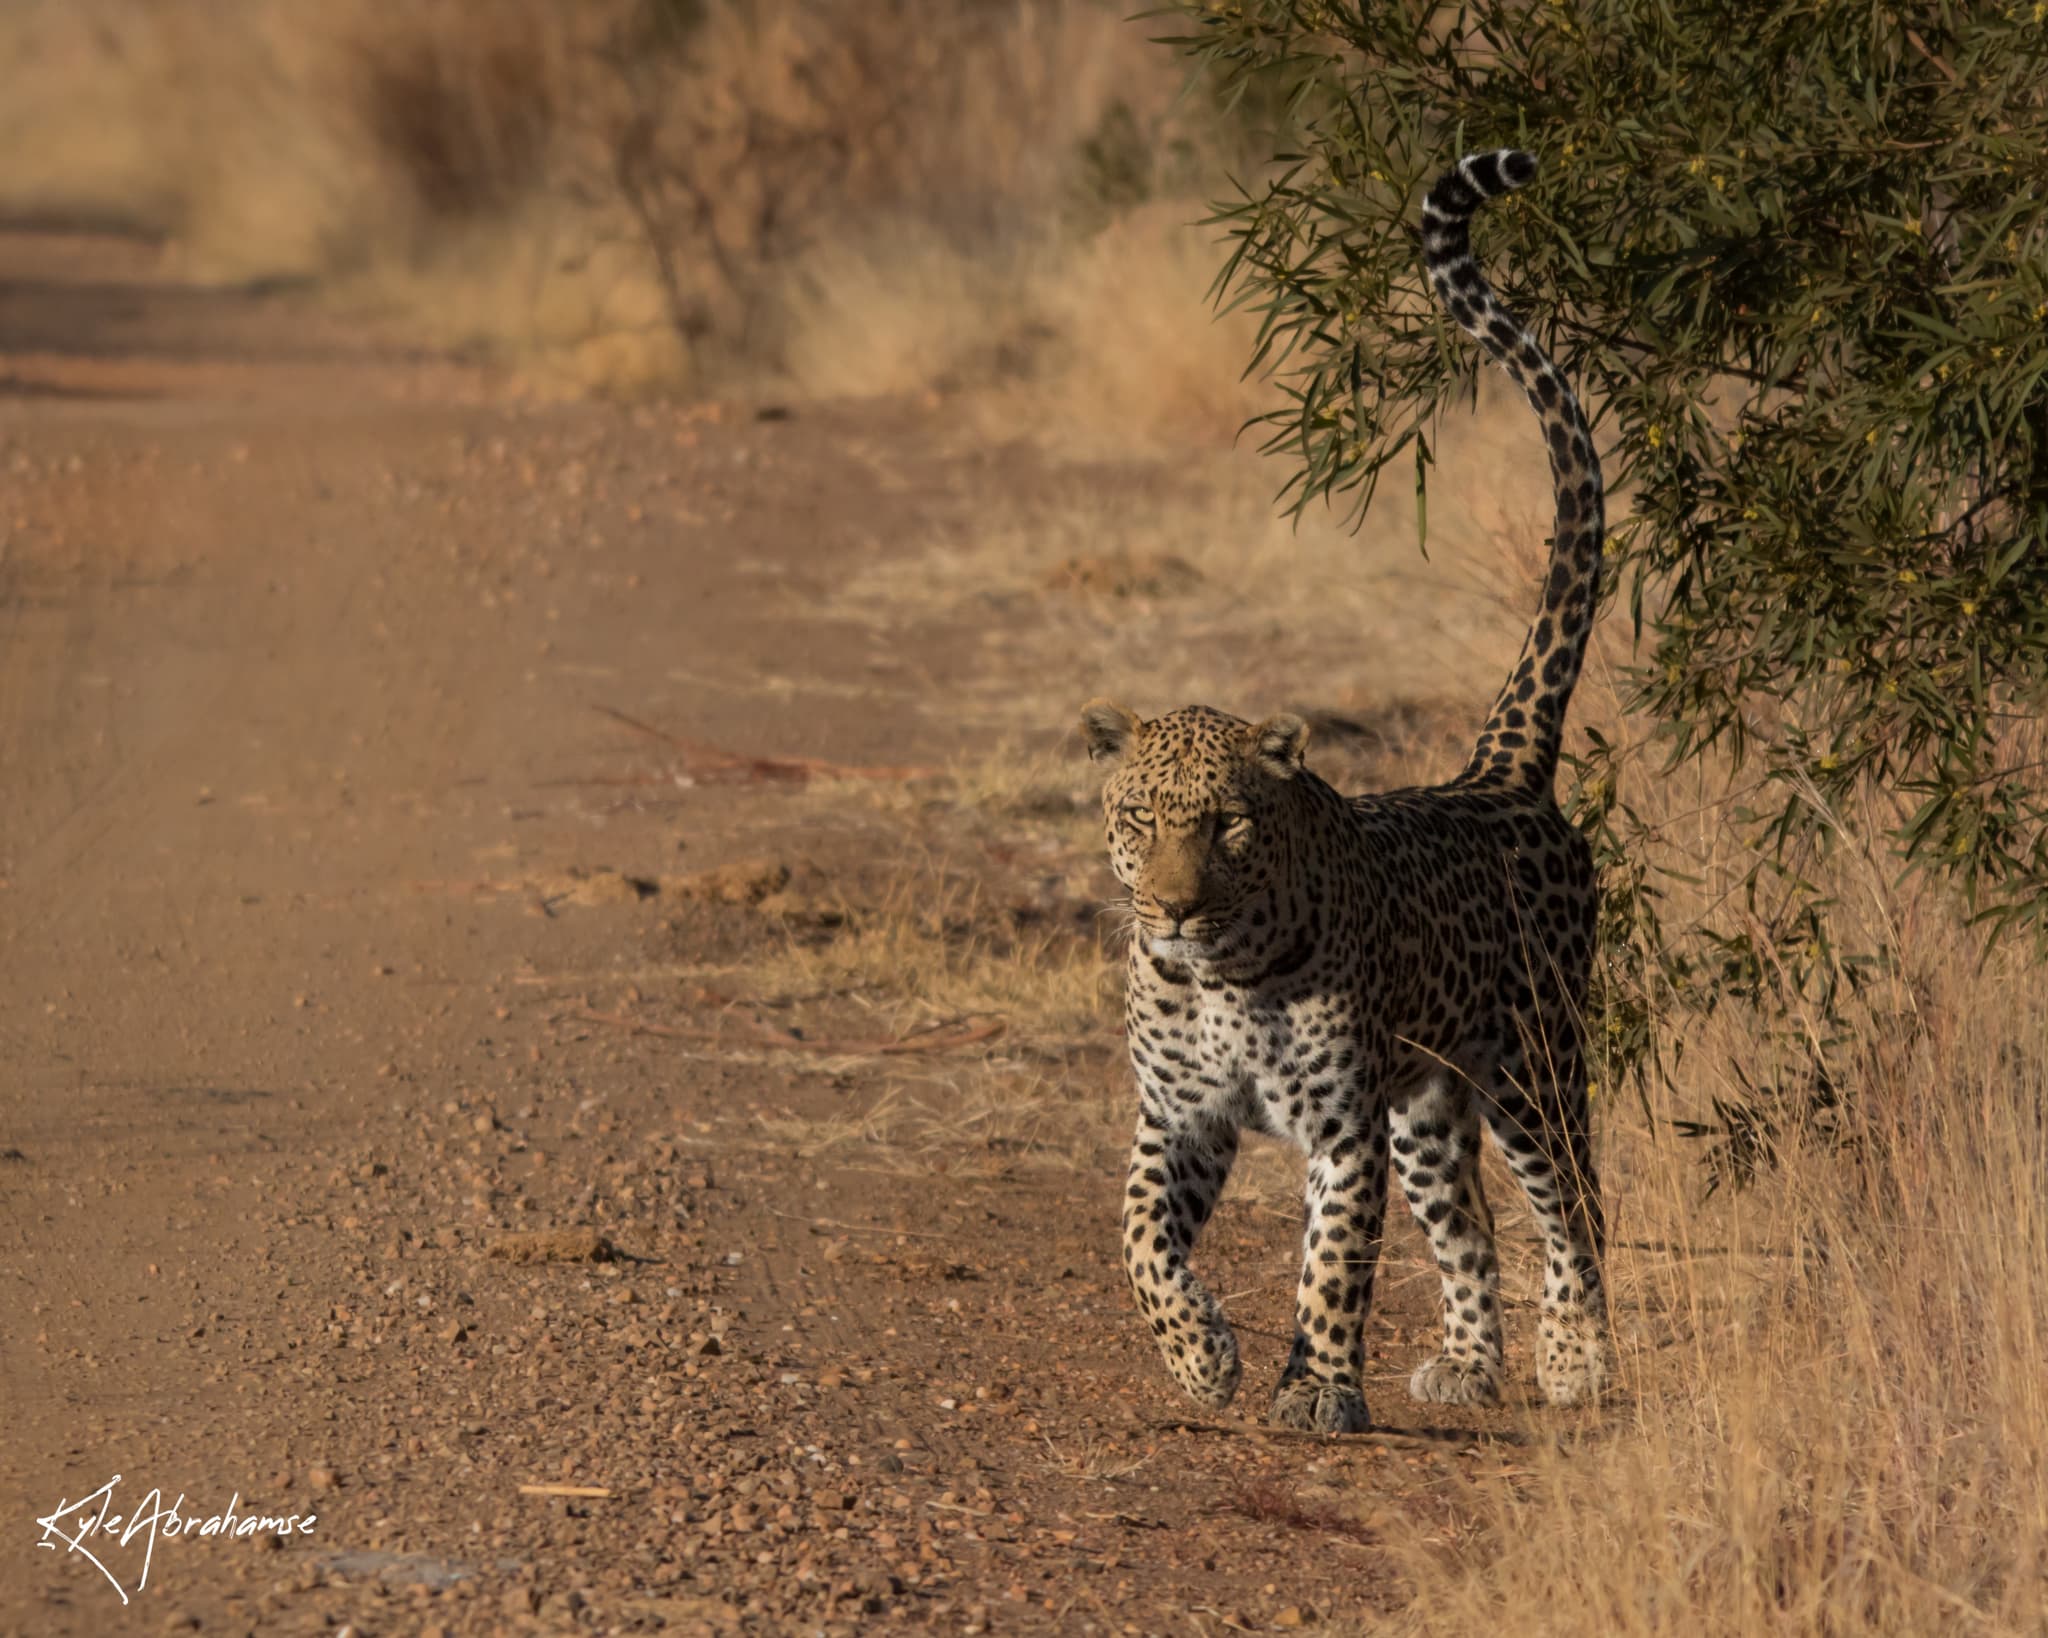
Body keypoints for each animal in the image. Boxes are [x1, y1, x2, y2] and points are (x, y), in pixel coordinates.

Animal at [1081, 153, 1605, 1433]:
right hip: (1425, 1108)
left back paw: (1574, 1360)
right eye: (1137, 821)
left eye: (1227, 825)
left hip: (1531, 1063)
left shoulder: (1339, 1125)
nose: (1171, 910)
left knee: (1572, 1206)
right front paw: (1200, 1357)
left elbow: (1332, 1261)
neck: (1222, 971)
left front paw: (1314, 1385)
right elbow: (1139, 1243)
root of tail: (1498, 772)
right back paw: (1469, 1366)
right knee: (1469, 1228)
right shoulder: (1178, 1118)